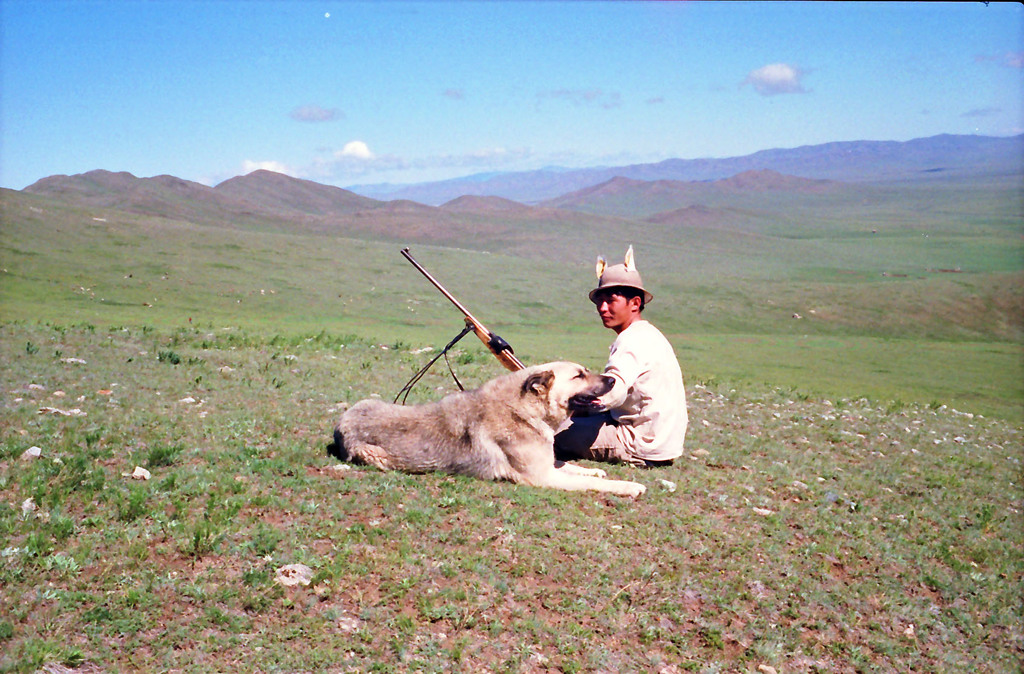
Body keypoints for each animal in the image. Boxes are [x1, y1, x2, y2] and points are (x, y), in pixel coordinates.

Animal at [331, 360, 643, 495]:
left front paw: (594, 469)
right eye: (579, 375)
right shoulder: (542, 477)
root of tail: (340, 425)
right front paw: (629, 486)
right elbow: (592, 482)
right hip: (377, 456)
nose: (613, 381)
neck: (524, 409)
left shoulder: (548, 464)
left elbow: (570, 465)